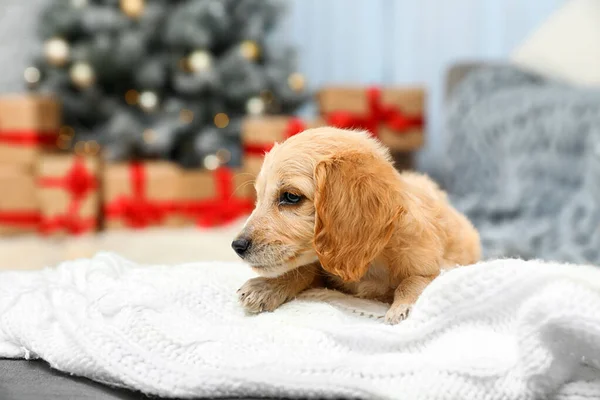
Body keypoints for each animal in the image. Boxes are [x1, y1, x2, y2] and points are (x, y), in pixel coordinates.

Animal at [232, 128, 480, 324]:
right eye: (258, 197)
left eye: (291, 197)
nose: (237, 246)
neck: (373, 260)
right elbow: (305, 270)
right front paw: (267, 286)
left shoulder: (439, 265)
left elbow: (414, 280)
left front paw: (402, 307)